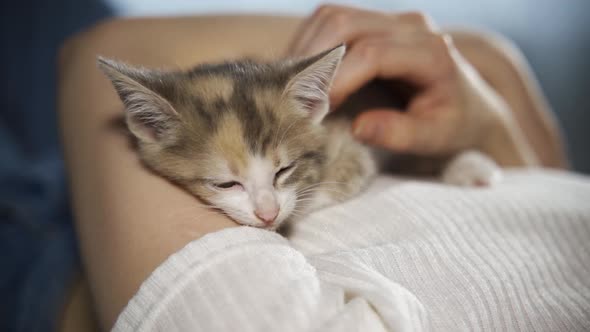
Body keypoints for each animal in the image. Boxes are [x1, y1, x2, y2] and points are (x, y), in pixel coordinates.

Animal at [99, 44, 502, 228]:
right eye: (226, 183)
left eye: (284, 170)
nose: (267, 214)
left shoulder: (353, 136)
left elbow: (345, 176)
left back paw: (469, 166)